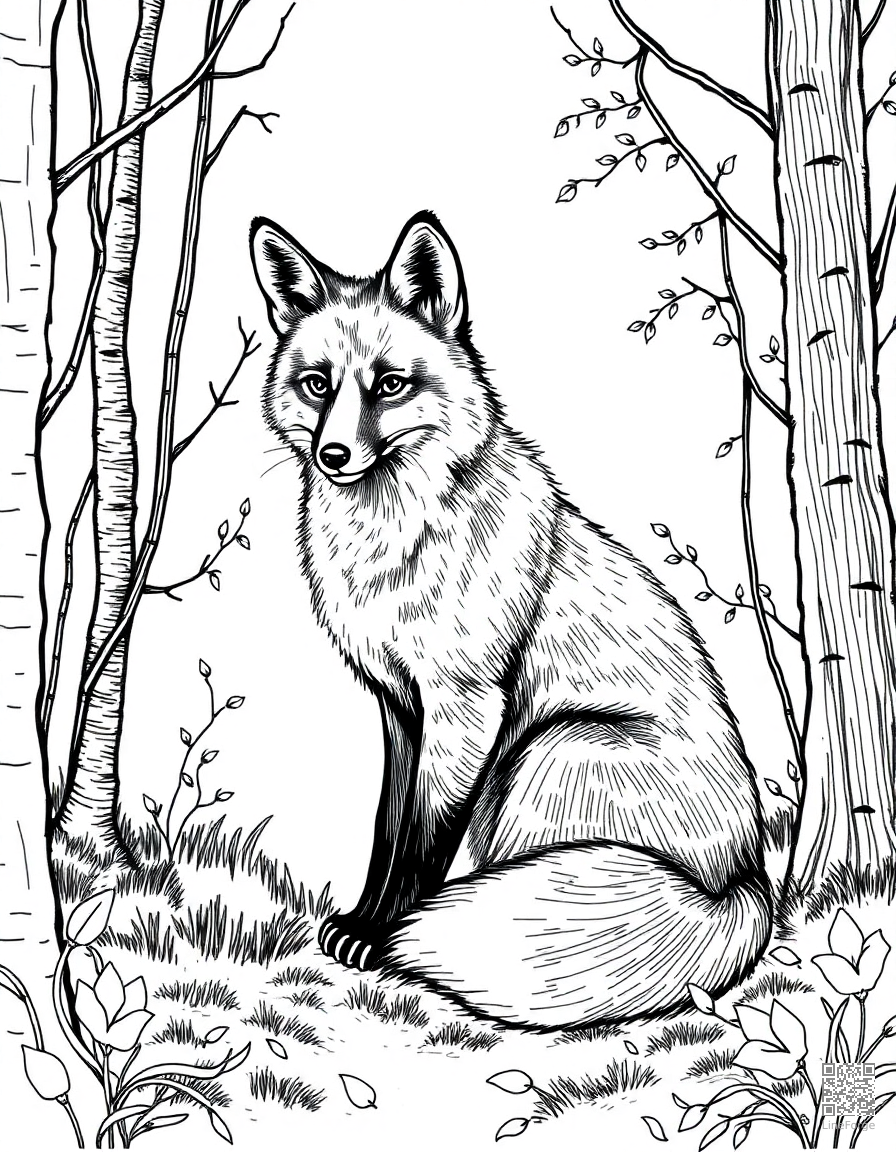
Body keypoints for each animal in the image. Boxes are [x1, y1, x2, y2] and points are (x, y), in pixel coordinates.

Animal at [249, 210, 772, 1031]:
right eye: (317, 385)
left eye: (390, 386)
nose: (333, 455)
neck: (392, 546)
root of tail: (743, 883)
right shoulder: (401, 706)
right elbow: (386, 829)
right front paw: (362, 920)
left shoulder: (465, 705)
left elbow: (421, 844)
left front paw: (384, 936)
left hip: (544, 750)